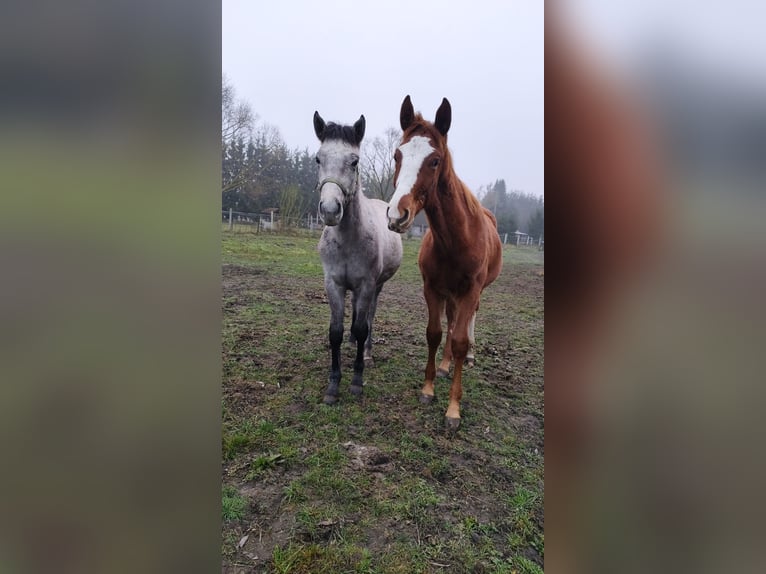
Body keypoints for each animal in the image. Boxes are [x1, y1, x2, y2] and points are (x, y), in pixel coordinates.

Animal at [313, 110, 403, 405]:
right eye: (318, 158)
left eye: (354, 162)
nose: (331, 210)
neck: (349, 239)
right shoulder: (333, 284)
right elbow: (336, 332)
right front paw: (333, 385)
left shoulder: (367, 284)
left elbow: (364, 326)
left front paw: (356, 380)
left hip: (378, 286)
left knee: (370, 317)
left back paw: (367, 351)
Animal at [386, 95, 503, 432]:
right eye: (398, 155)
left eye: (435, 160)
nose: (397, 215)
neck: (456, 239)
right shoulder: (432, 288)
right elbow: (435, 333)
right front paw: (428, 388)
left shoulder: (471, 291)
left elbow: (460, 339)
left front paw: (453, 409)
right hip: (451, 293)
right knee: (451, 322)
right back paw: (445, 364)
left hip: (474, 293)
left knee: (469, 320)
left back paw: (470, 356)